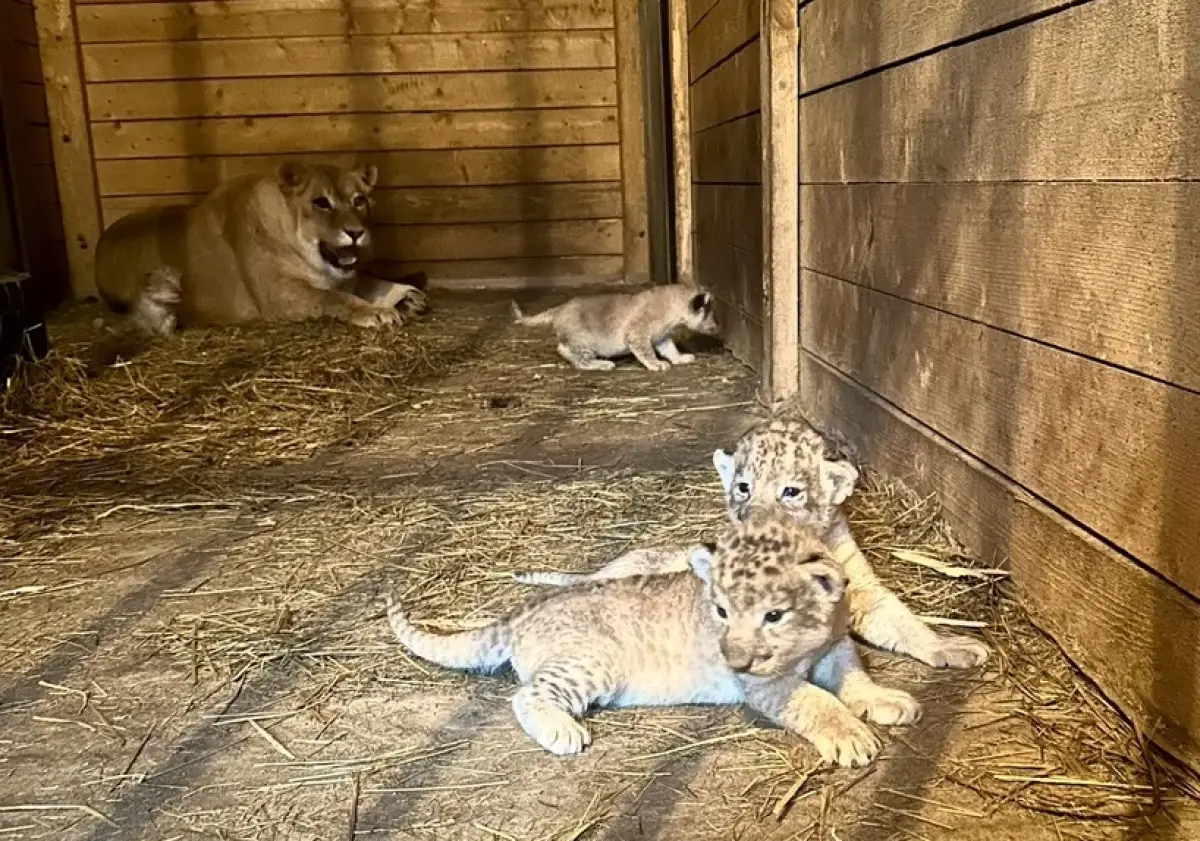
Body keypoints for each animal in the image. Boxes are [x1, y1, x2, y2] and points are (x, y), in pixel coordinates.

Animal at [96, 160, 429, 333]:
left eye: (359, 200)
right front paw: (376, 312)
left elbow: (369, 280)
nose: (356, 233)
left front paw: (407, 296)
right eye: (321, 202)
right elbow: (332, 297)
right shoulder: (279, 296)